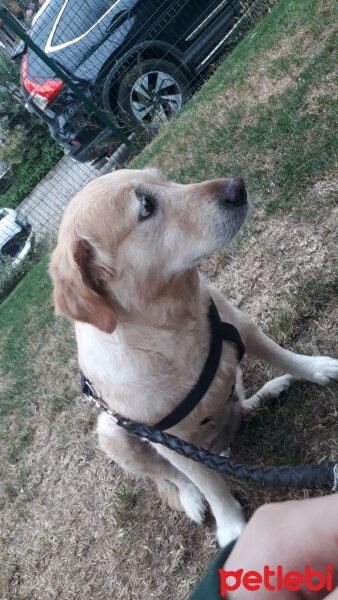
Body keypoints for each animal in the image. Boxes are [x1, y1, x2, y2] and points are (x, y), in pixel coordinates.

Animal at [50, 169, 338, 548]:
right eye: (146, 206)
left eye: (163, 179)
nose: (237, 187)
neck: (171, 324)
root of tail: (222, 447)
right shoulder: (171, 441)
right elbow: (209, 484)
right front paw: (230, 524)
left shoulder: (241, 325)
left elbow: (282, 354)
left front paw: (316, 369)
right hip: (111, 432)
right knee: (174, 477)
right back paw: (191, 499)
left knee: (241, 404)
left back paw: (267, 394)